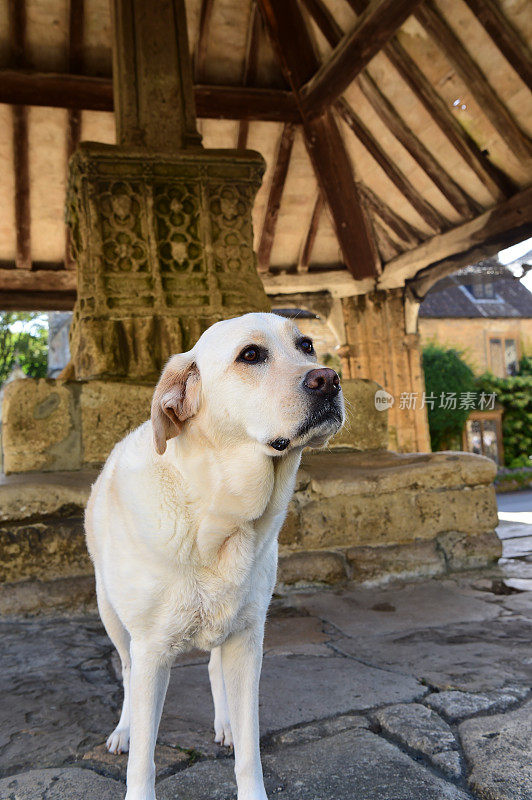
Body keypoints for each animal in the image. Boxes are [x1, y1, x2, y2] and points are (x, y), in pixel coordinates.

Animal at [86, 312, 344, 800]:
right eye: (251, 354)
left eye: (306, 345)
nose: (329, 379)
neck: (217, 516)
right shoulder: (151, 653)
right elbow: (143, 761)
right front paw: (135, 751)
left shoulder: (247, 640)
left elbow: (249, 750)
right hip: (111, 615)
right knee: (126, 672)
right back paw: (124, 730)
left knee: (212, 667)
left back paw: (224, 722)